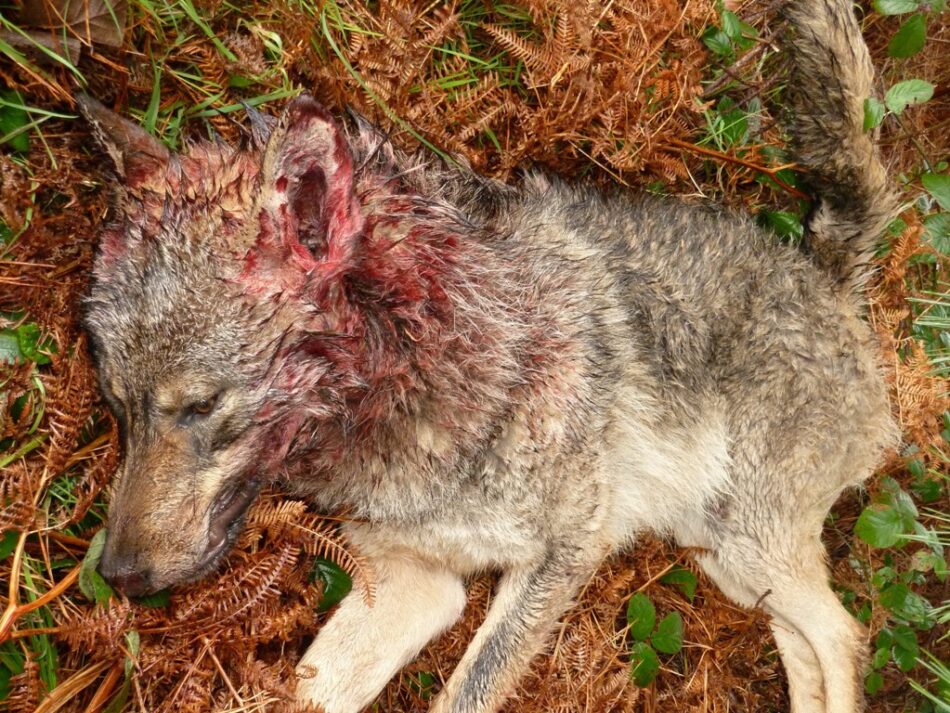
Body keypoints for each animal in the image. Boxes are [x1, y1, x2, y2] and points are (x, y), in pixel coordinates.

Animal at [80, 1, 897, 711]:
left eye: (200, 404)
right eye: (116, 405)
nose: (118, 576)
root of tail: (826, 275)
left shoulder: (563, 556)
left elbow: (462, 694)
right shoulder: (412, 581)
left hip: (747, 545)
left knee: (844, 636)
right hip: (726, 560)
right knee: (813, 647)